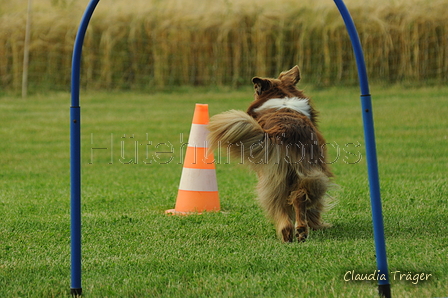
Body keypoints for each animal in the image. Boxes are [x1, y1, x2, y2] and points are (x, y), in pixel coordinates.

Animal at [208, 66, 334, 242]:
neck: (281, 99)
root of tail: (282, 132)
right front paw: (318, 225)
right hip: (296, 175)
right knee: (295, 199)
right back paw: (296, 231)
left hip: (275, 177)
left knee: (286, 202)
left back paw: (291, 231)